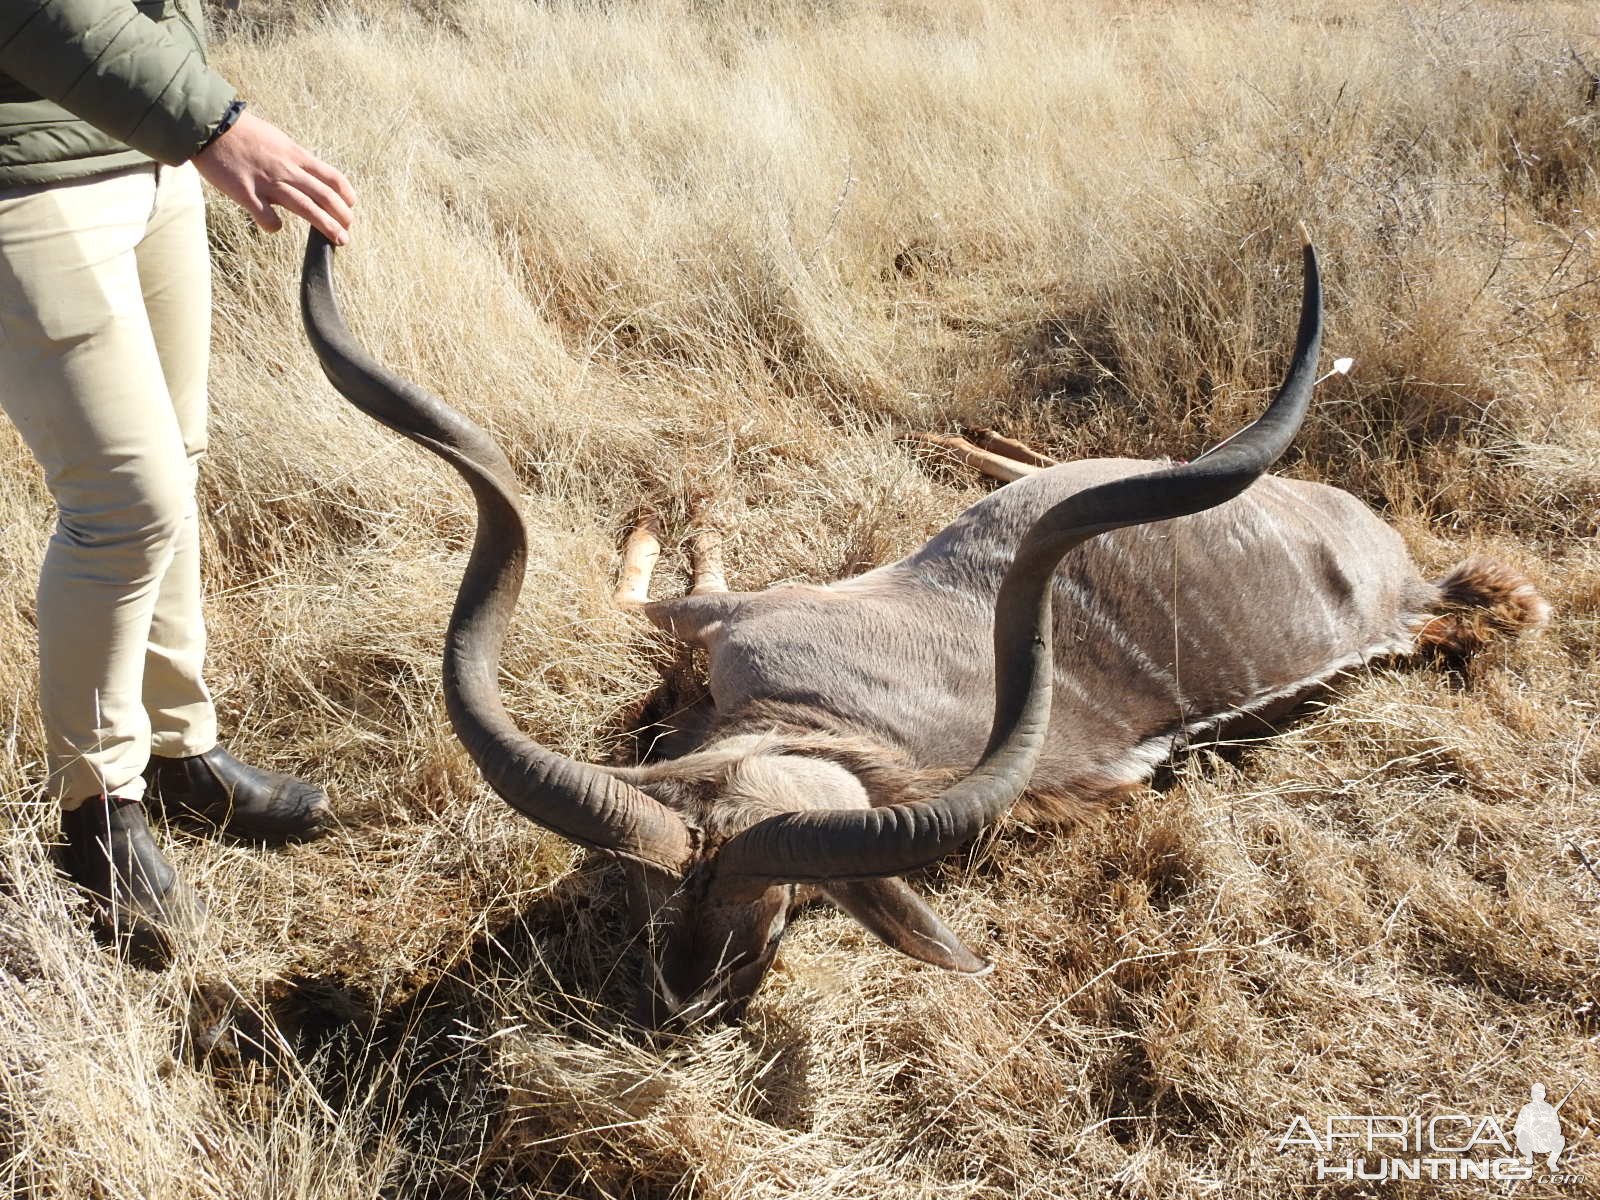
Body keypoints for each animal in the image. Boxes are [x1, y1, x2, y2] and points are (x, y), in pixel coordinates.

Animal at [302, 232, 1548, 1024]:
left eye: (791, 913)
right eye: (648, 895)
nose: (688, 1008)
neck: (827, 726)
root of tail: (1408, 592)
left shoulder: (739, 614)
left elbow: (643, 592)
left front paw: (676, 511)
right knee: (1048, 458)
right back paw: (965, 441)